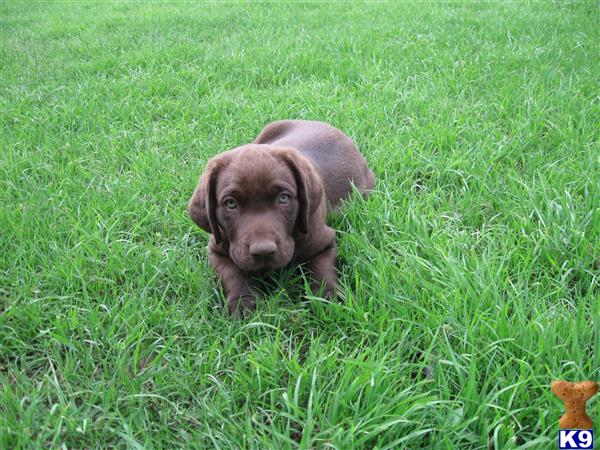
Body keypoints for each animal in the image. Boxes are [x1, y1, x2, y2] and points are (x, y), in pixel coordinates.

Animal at [190, 119, 372, 316]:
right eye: (230, 204)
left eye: (283, 198)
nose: (263, 251)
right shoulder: (217, 249)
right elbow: (232, 274)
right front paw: (242, 303)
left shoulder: (324, 241)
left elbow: (323, 268)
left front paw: (328, 298)